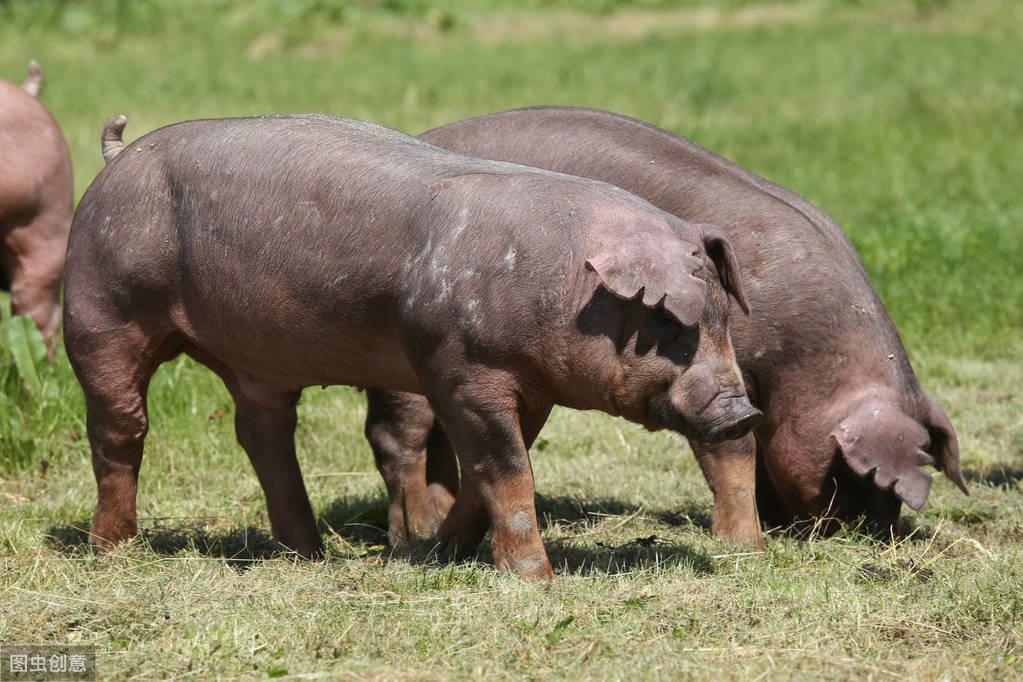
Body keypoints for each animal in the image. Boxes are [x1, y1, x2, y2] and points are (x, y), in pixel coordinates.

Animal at [70, 114, 761, 580]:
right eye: (670, 326)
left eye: (724, 319)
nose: (743, 411)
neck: (561, 286)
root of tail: (117, 156)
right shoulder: (464, 368)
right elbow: (506, 469)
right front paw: (536, 582)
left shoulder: (530, 387)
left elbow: (486, 475)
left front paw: (437, 553)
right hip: (100, 305)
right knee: (118, 427)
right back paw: (115, 550)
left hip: (251, 363)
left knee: (264, 434)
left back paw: (307, 555)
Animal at [366, 104, 965, 548]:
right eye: (853, 473)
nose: (870, 535)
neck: (807, 363)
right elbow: (730, 449)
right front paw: (741, 540)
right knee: (398, 436)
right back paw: (413, 535)